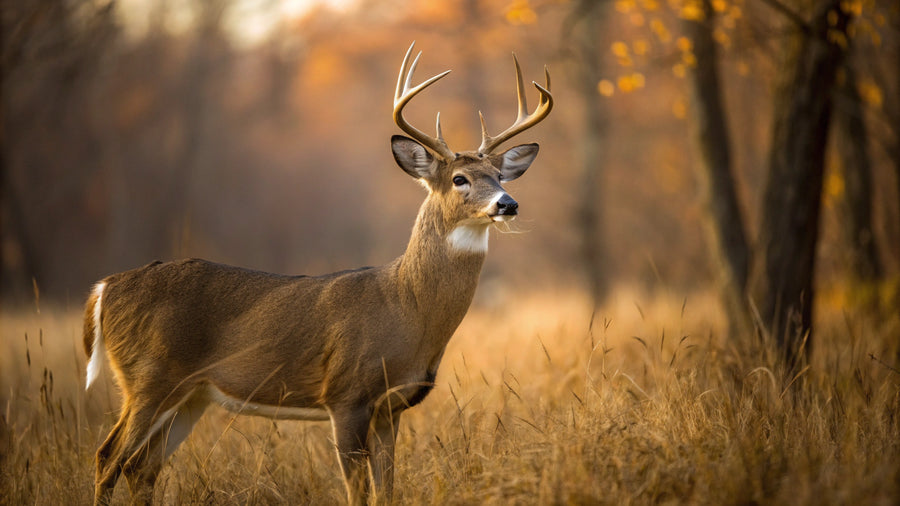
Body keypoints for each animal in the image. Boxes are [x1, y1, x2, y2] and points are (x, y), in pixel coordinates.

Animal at [83, 42, 552, 505]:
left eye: (499, 175)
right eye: (459, 178)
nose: (507, 203)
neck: (406, 308)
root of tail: (105, 287)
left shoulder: (391, 407)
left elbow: (387, 490)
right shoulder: (345, 393)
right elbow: (356, 490)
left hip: (191, 395)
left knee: (141, 467)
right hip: (148, 377)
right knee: (108, 457)